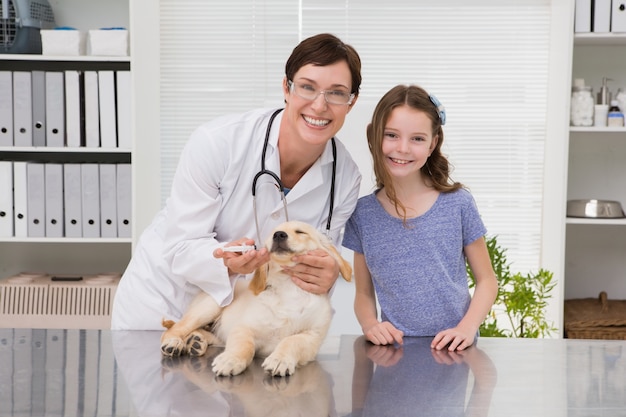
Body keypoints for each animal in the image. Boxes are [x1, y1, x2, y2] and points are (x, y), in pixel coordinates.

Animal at [158, 221, 352, 376]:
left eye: (300, 232)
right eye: (273, 233)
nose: (279, 235)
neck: (289, 287)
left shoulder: (312, 338)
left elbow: (291, 341)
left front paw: (279, 359)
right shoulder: (244, 328)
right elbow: (243, 346)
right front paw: (231, 360)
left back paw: (196, 341)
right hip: (210, 306)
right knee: (175, 328)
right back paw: (175, 343)